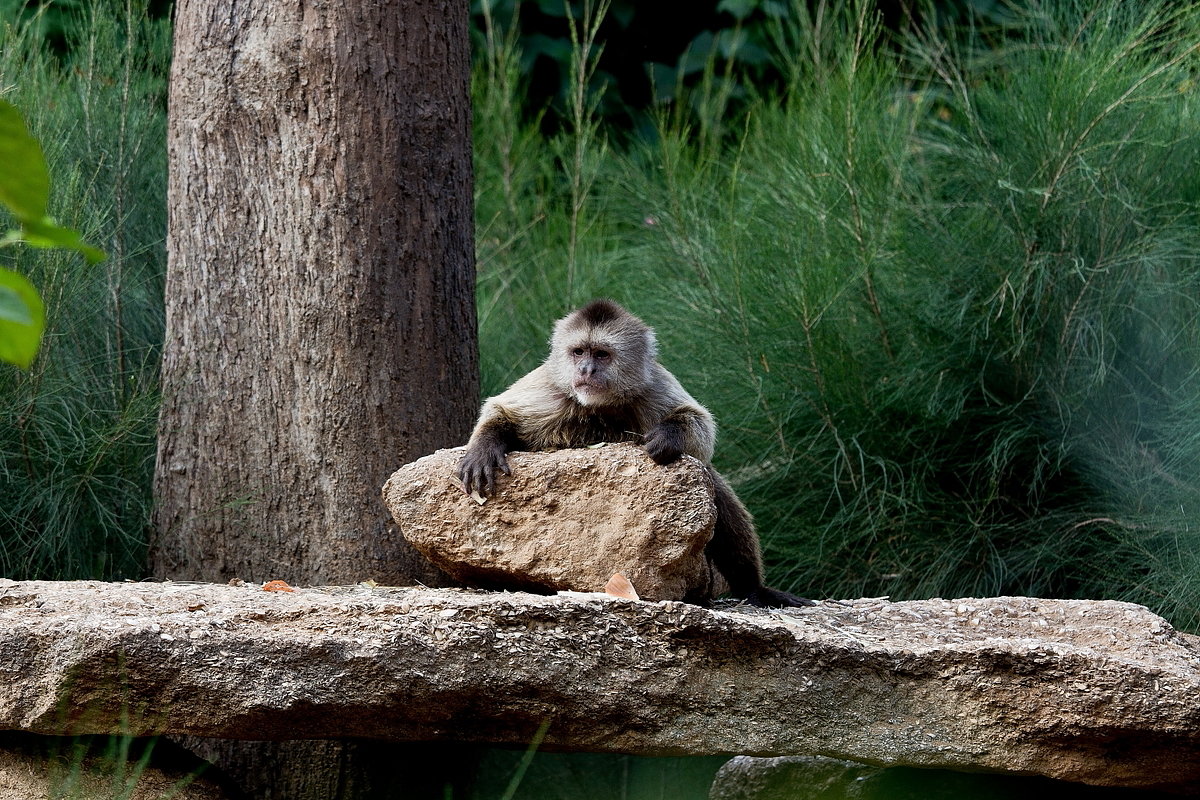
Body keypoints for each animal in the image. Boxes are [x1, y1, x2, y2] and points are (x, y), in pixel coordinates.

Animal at [458, 298, 816, 606]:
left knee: (712, 482)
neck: (599, 408)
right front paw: (484, 447)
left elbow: (701, 428)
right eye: (578, 352)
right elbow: (502, 410)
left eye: (602, 355)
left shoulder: (652, 384)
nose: (585, 370)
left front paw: (668, 436)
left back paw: (753, 587)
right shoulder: (552, 387)